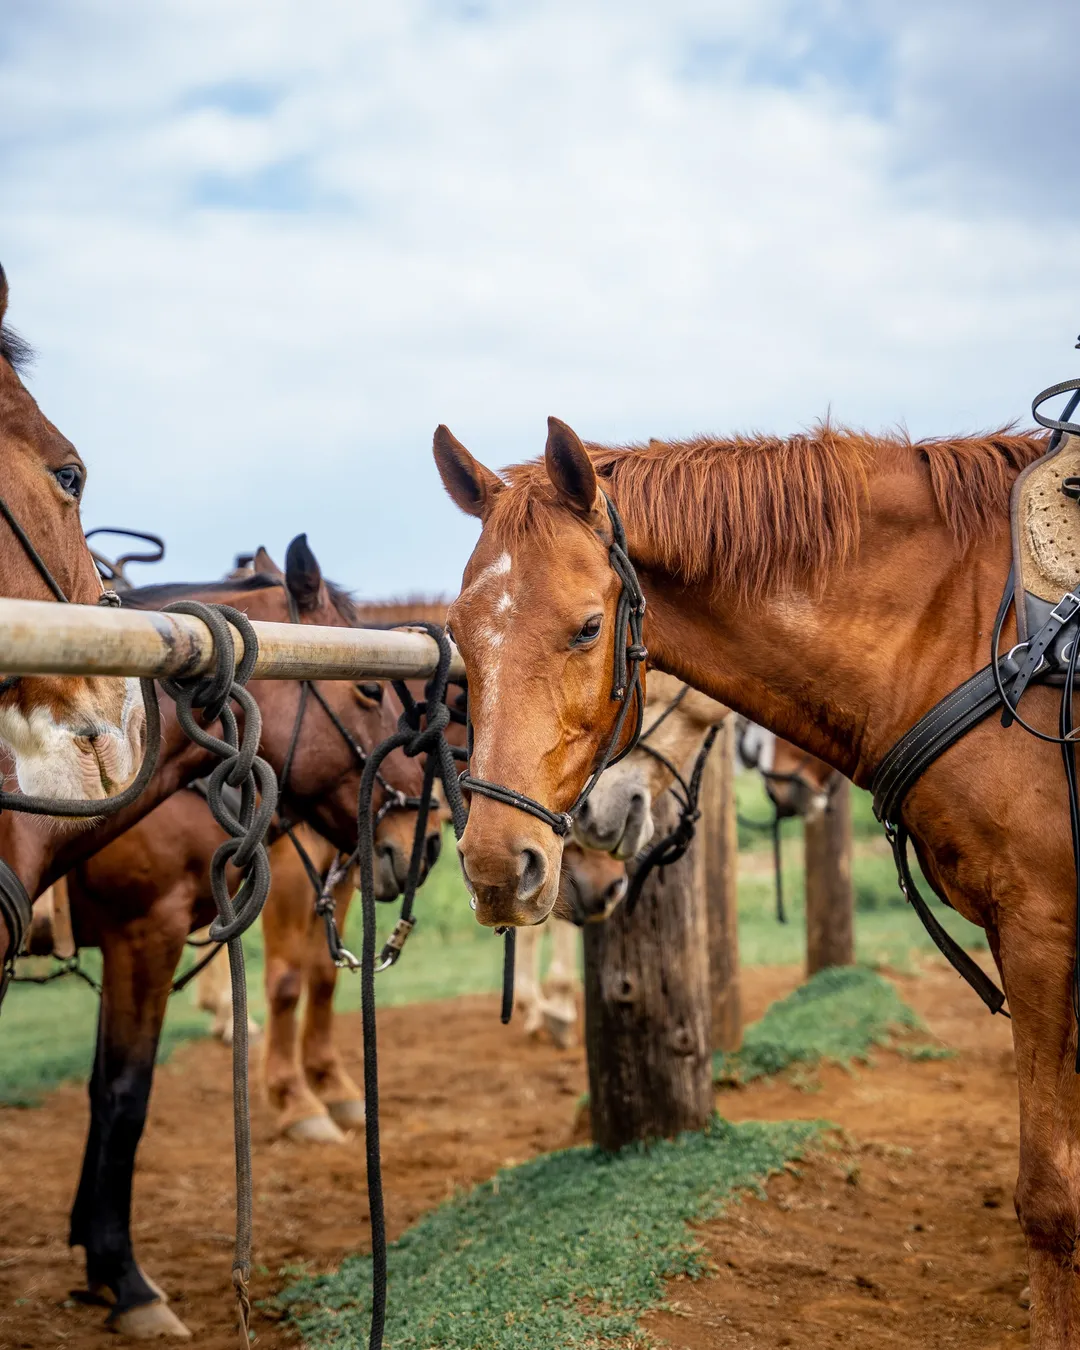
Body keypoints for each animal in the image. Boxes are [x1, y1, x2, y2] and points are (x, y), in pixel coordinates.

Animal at [434, 415, 1080, 1344]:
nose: (495, 865)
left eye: (589, 628)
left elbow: (1051, 1196)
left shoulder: (1041, 931)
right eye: (457, 631)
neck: (976, 633)